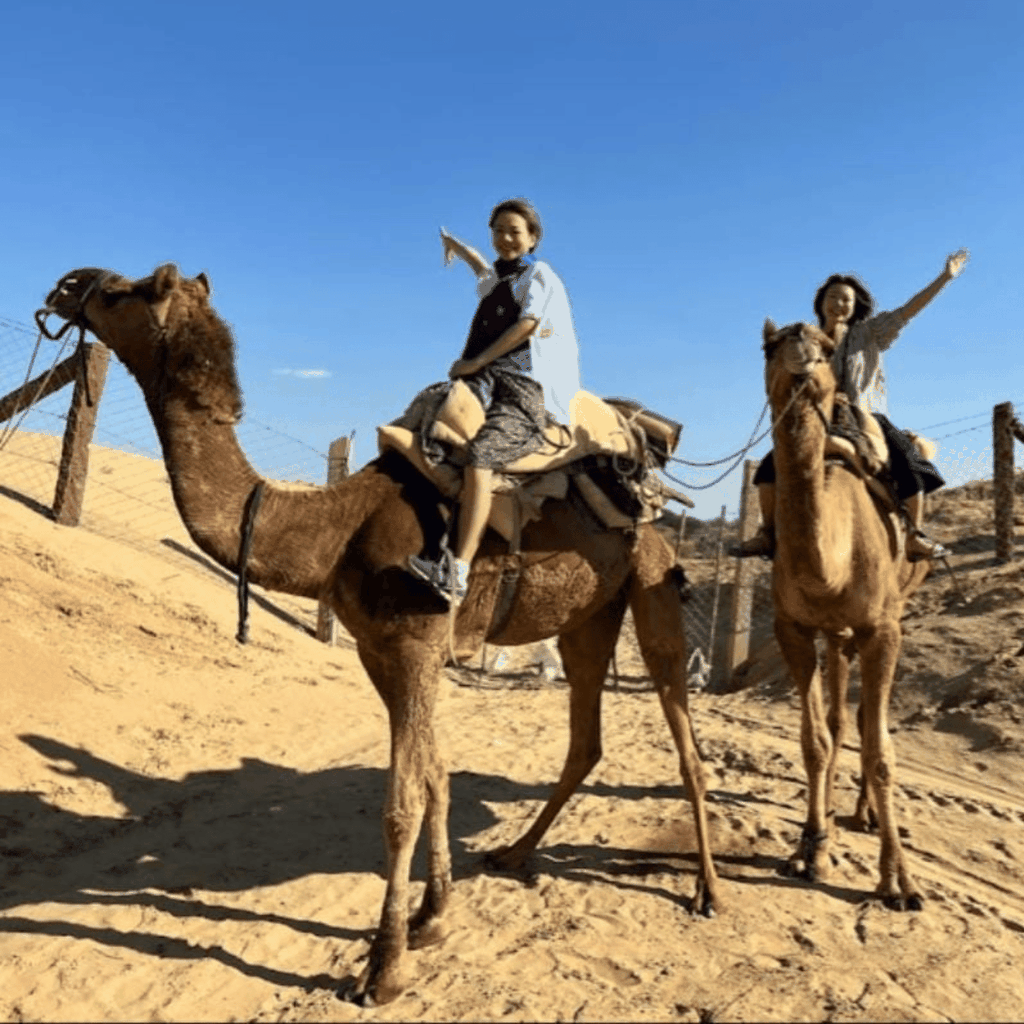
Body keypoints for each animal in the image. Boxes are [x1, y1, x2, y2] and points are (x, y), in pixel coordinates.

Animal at [40, 264, 720, 1005]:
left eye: (120, 292)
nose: (66, 285)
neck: (334, 530)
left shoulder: (414, 642)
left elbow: (403, 803)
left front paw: (384, 967)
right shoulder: (379, 649)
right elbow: (437, 778)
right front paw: (433, 919)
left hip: (652, 587)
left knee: (686, 744)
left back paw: (707, 892)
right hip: (588, 619)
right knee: (585, 740)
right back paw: (514, 853)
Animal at [762, 318, 930, 910]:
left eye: (829, 346)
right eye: (767, 345)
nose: (801, 354)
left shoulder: (883, 629)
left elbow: (880, 750)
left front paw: (899, 882)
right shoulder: (792, 627)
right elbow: (814, 740)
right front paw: (810, 848)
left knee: (862, 721)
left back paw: (864, 816)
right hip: (835, 632)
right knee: (838, 718)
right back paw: (836, 821)